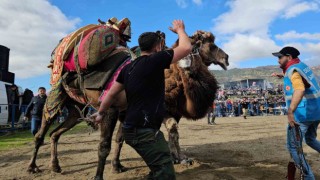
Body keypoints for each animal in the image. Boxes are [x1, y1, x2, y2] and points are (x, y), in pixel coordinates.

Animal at [26, 24, 229, 179]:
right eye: (210, 44)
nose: (226, 58)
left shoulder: (135, 111)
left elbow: (123, 138)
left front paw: (118, 166)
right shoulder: (114, 109)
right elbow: (105, 145)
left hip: (76, 111)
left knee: (55, 134)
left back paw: (55, 166)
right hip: (54, 99)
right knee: (41, 134)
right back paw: (32, 167)